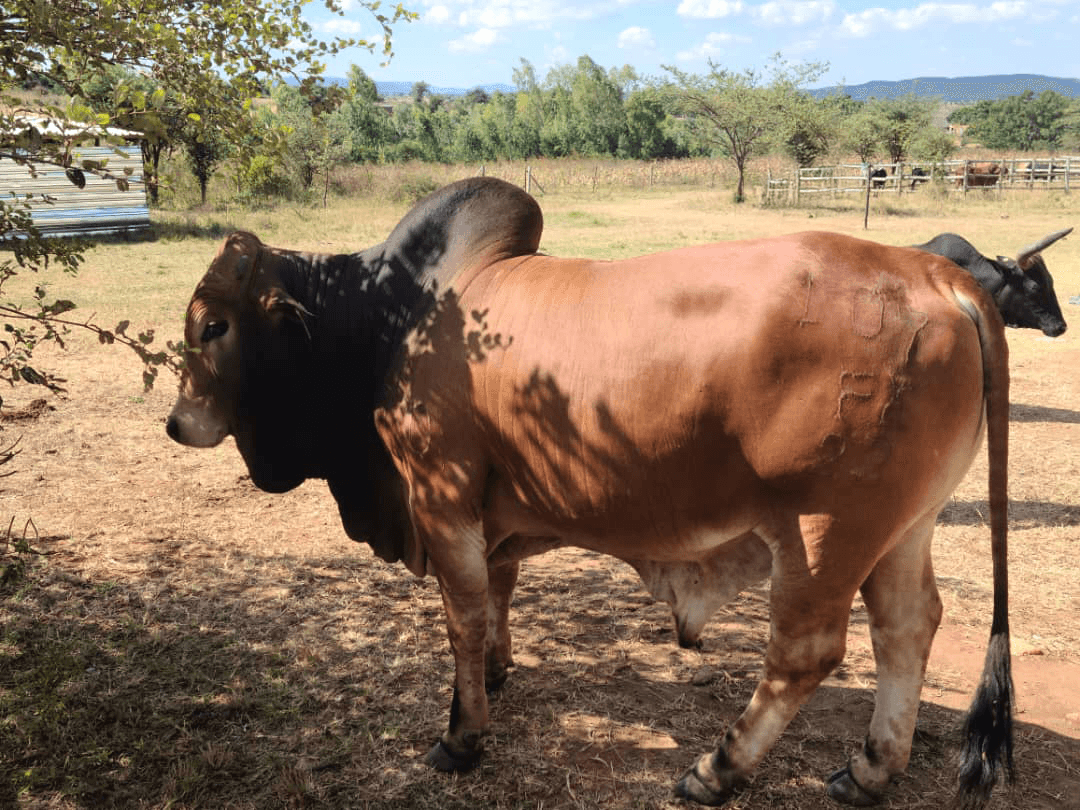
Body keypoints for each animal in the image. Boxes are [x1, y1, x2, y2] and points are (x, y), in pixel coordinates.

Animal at [166, 177, 1013, 808]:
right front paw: (497, 675)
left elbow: (462, 617)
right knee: (907, 628)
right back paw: (870, 769)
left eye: (211, 326)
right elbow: (497, 594)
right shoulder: (492, 510)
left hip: (823, 526)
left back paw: (718, 770)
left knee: (806, 651)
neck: (386, 318)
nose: (177, 422)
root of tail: (936, 276)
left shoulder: (440, 491)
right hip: (902, 526)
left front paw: (461, 735)